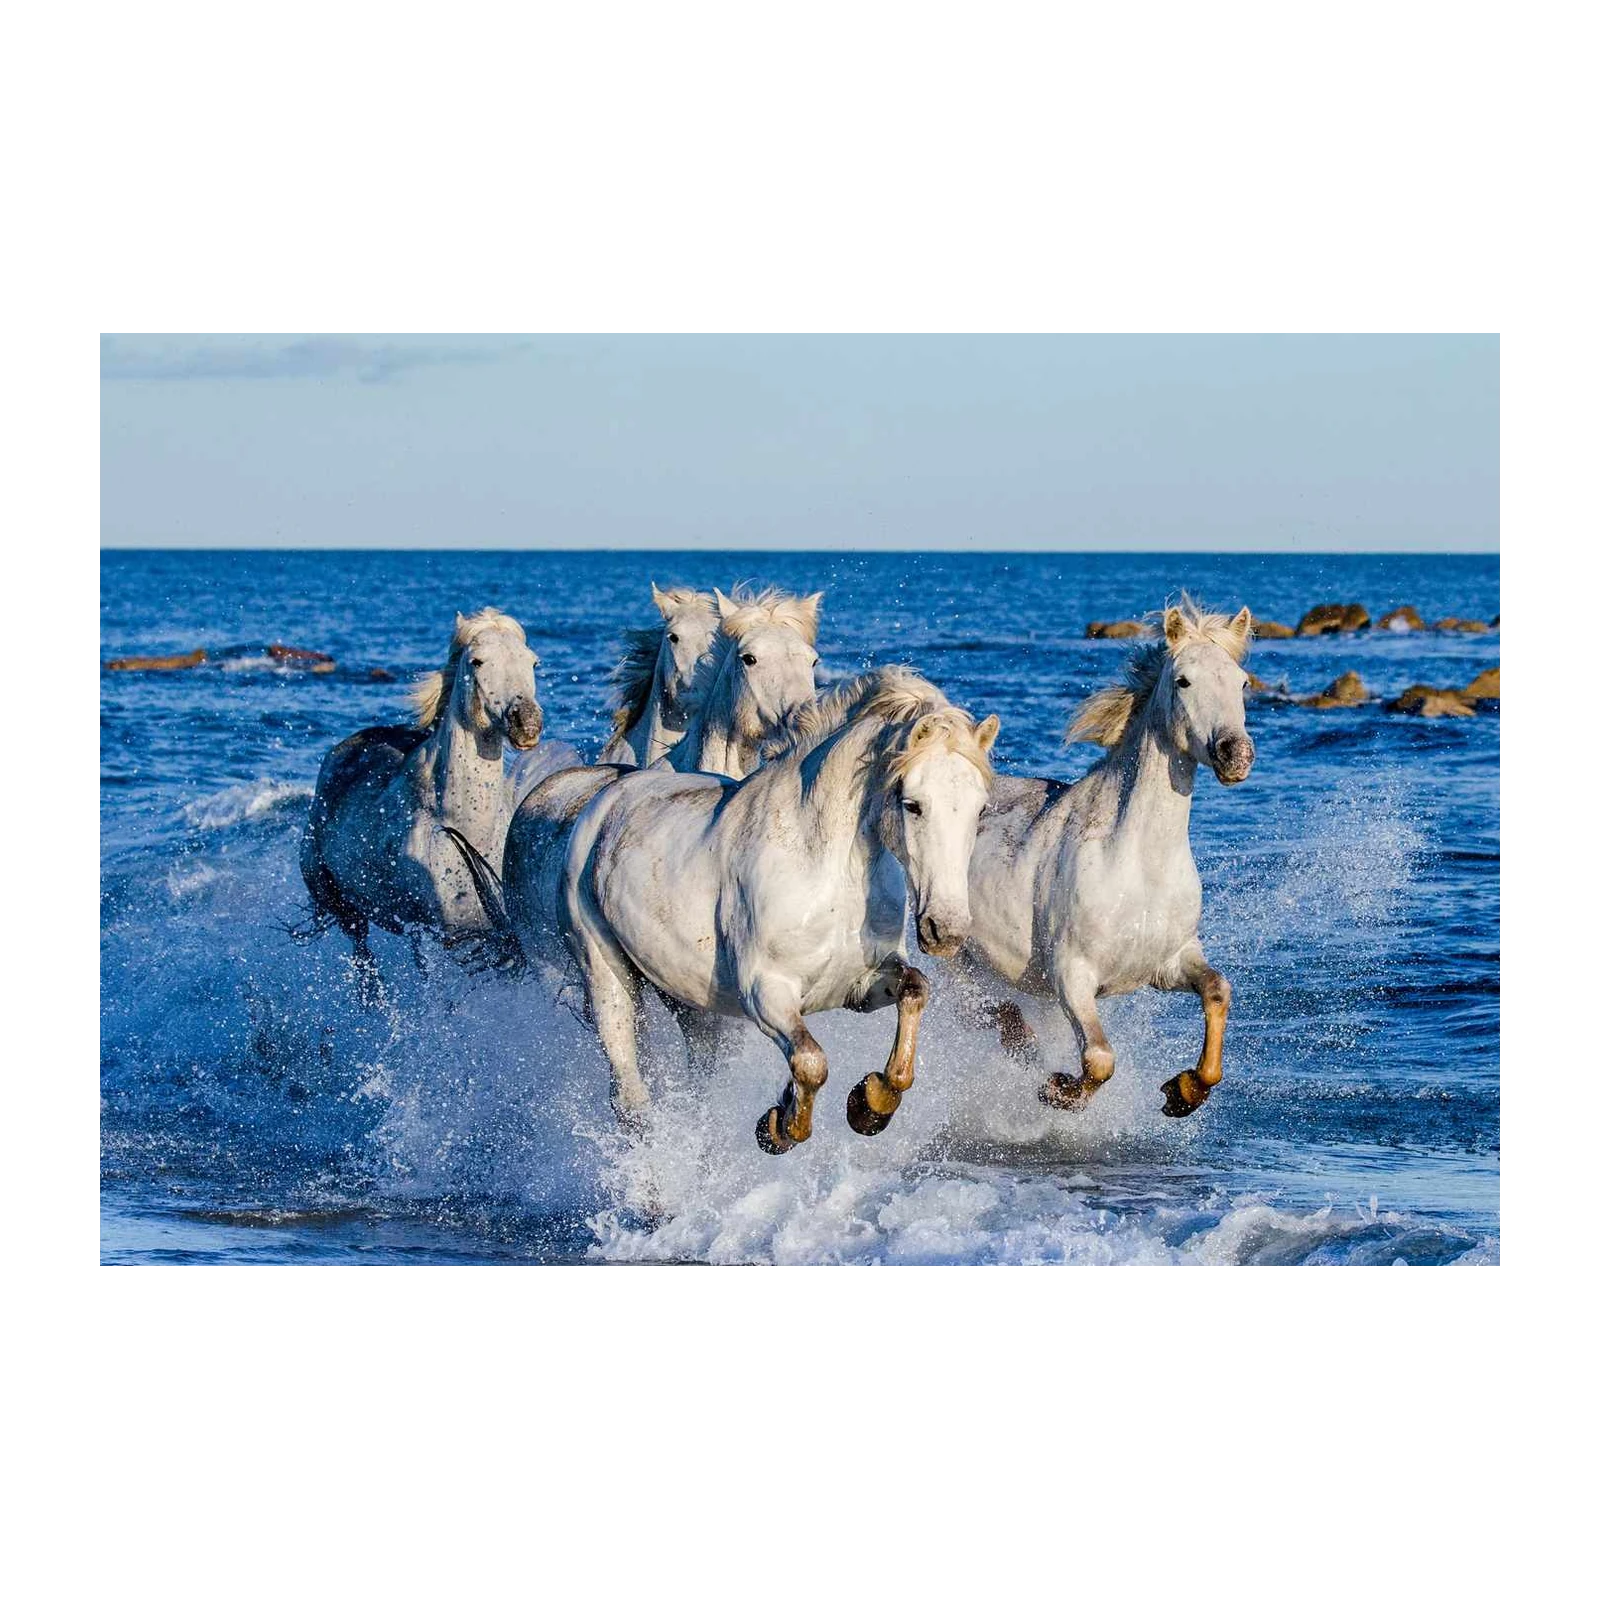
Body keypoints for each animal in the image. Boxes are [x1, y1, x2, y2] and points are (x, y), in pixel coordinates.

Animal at [298, 607, 543, 976]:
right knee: (362, 958)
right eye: (477, 661)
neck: (459, 824)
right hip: (344, 906)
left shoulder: (491, 931)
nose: (526, 724)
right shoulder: (427, 935)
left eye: (533, 662)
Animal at [510, 666, 999, 1153]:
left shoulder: (861, 985)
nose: (945, 930)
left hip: (691, 1004)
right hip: (607, 979)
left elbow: (916, 990)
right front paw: (780, 1127)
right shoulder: (767, 992)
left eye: (979, 810)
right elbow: (811, 1062)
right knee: (630, 1097)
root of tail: (600, 801)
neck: (829, 869)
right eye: (913, 804)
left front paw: (871, 1103)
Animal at [952, 599, 1254, 1118]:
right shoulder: (1072, 977)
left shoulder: (1171, 961)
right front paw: (1056, 1090)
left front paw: (1184, 1091)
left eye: (1242, 682)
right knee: (989, 1015)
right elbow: (1099, 1058)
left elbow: (1218, 991)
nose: (1235, 754)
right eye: (1184, 681)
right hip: (956, 963)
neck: (1139, 865)